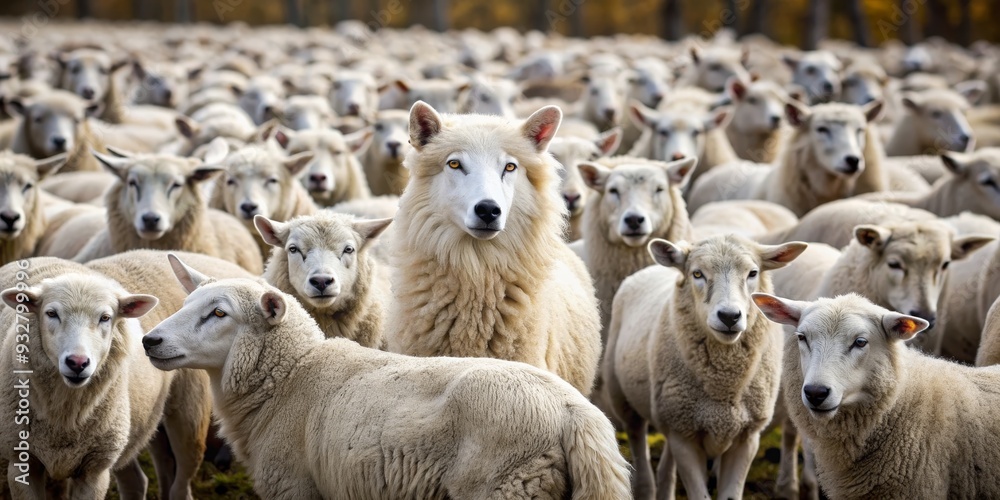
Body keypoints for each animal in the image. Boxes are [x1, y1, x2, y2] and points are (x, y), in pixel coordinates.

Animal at [142, 262, 632, 500]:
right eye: (188, 303)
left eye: (219, 313)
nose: (150, 340)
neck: (290, 378)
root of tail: (575, 412)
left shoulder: (297, 487)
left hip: (503, 485)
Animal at [604, 235, 806, 500]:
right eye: (697, 274)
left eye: (753, 273)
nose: (729, 316)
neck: (724, 385)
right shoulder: (684, 438)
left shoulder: (746, 436)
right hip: (625, 399)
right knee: (638, 443)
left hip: (671, 412)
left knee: (666, 467)